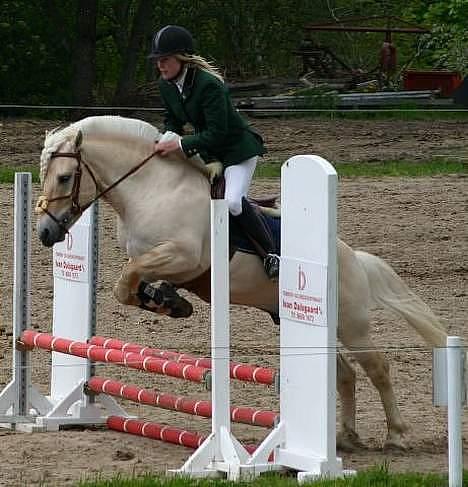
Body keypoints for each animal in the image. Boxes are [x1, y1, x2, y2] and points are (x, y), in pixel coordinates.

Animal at [35, 114, 446, 450]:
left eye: (65, 177)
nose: (45, 232)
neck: (152, 189)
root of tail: (353, 258)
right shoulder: (156, 261)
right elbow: (129, 287)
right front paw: (169, 301)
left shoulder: (184, 257)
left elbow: (127, 280)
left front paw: (169, 301)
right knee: (344, 373)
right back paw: (346, 437)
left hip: (351, 322)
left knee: (377, 367)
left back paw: (396, 435)